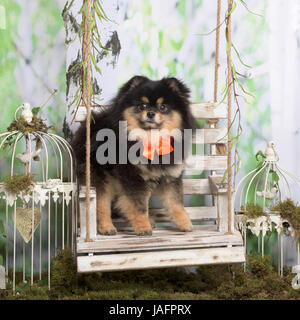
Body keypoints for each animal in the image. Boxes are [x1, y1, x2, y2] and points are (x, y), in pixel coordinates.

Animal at [72, 75, 199, 235]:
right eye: (142, 106)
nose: (150, 113)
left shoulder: (170, 176)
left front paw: (185, 223)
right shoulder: (133, 177)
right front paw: (143, 228)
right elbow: (138, 206)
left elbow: (176, 203)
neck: (151, 138)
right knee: (101, 205)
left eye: (163, 107)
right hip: (98, 178)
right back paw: (107, 227)